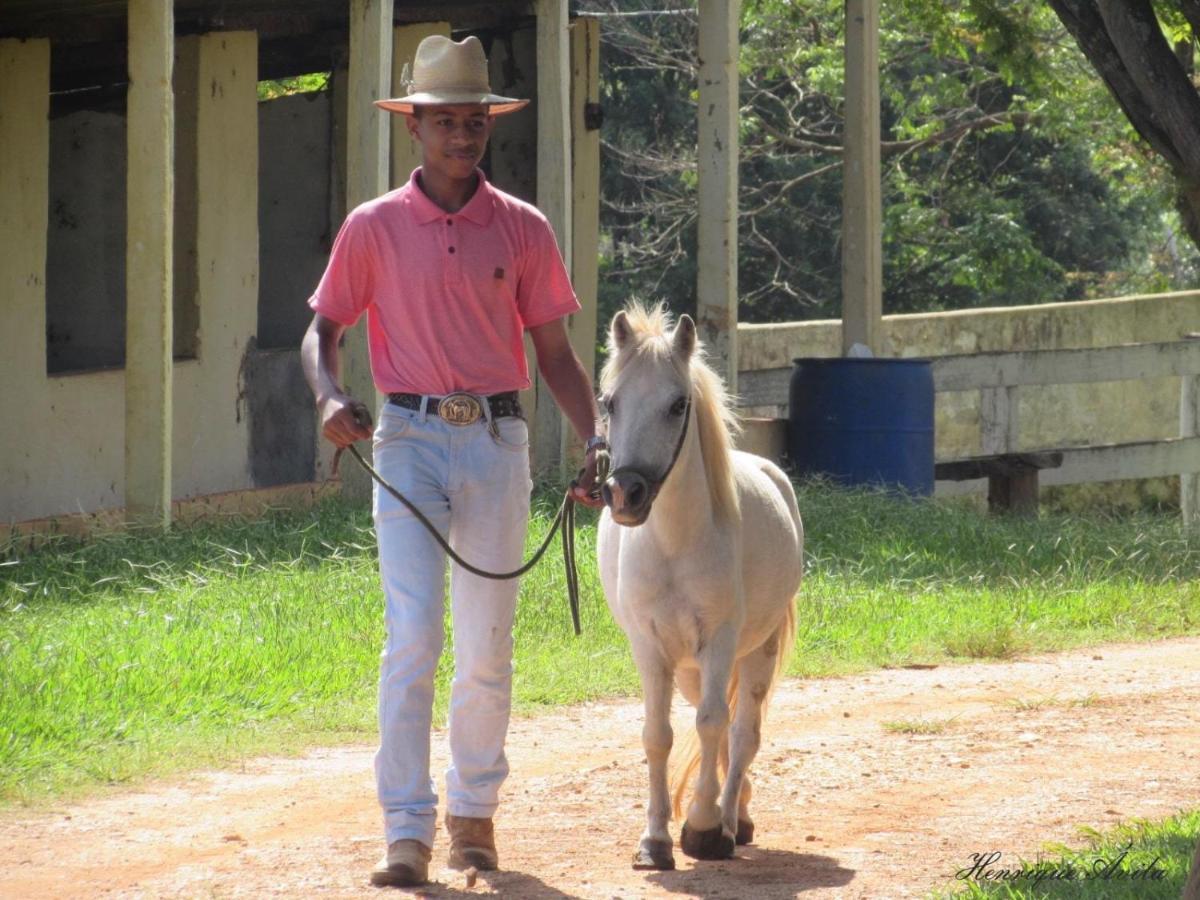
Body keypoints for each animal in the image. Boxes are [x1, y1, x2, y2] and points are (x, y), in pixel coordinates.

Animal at [595, 307, 801, 868]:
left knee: (742, 730)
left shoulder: (720, 640)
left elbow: (713, 724)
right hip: (688, 669)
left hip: (755, 654)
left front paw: (705, 828)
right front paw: (655, 840)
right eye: (610, 402)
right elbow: (658, 736)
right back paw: (739, 813)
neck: (674, 542)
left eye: (677, 404)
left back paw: (731, 820)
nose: (626, 494)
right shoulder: (650, 648)